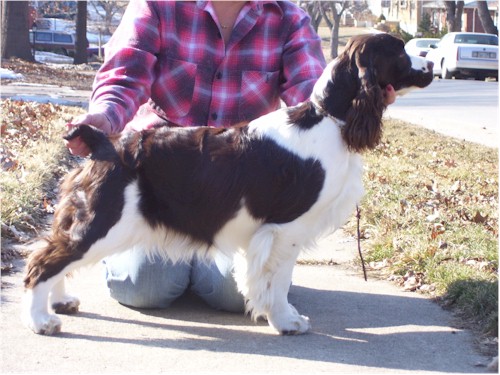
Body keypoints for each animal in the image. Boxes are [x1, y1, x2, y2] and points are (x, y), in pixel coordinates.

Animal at [21, 33, 434, 336]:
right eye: (399, 50)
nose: (431, 63)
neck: (329, 119)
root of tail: (105, 143)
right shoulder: (285, 229)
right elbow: (277, 280)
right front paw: (286, 321)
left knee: (56, 256)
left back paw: (60, 302)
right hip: (106, 222)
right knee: (44, 262)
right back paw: (41, 320)